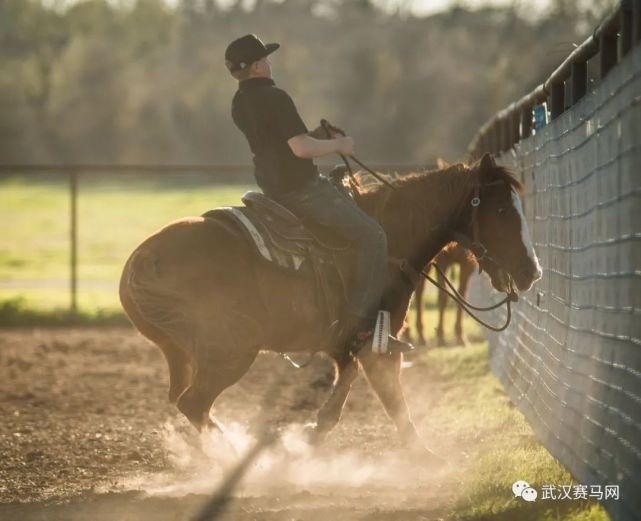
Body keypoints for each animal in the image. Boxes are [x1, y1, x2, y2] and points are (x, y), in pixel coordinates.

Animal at [119, 152, 540, 458]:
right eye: (501, 210)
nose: (531, 271)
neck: (390, 238)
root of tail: (143, 258)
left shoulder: (351, 343)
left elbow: (344, 392)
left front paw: (312, 434)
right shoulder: (380, 342)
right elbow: (394, 401)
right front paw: (426, 458)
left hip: (187, 352)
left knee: (188, 403)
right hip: (231, 351)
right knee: (194, 404)